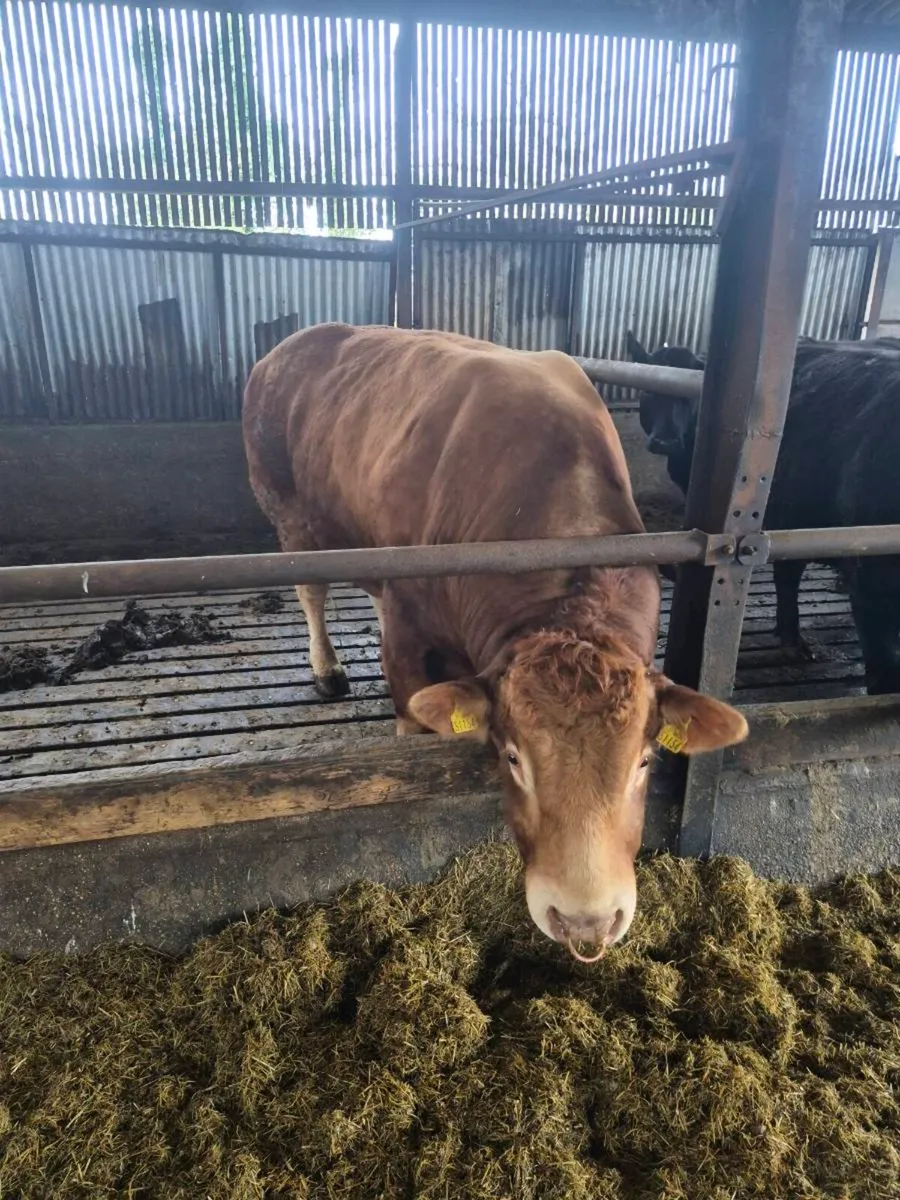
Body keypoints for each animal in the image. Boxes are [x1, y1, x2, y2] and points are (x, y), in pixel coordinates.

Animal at [243, 324, 748, 959]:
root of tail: (290, 343)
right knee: (310, 589)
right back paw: (326, 670)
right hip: (288, 514)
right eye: (512, 758)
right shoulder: (408, 642)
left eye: (645, 760)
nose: (586, 922)